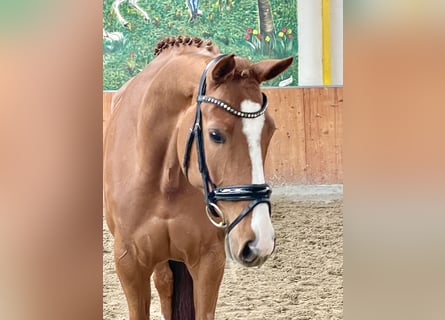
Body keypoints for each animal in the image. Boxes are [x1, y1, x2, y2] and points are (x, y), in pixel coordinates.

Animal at [103, 36, 292, 318]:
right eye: (215, 134)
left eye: (270, 130)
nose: (260, 241)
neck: (164, 180)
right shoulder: (130, 263)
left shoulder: (209, 261)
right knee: (164, 282)